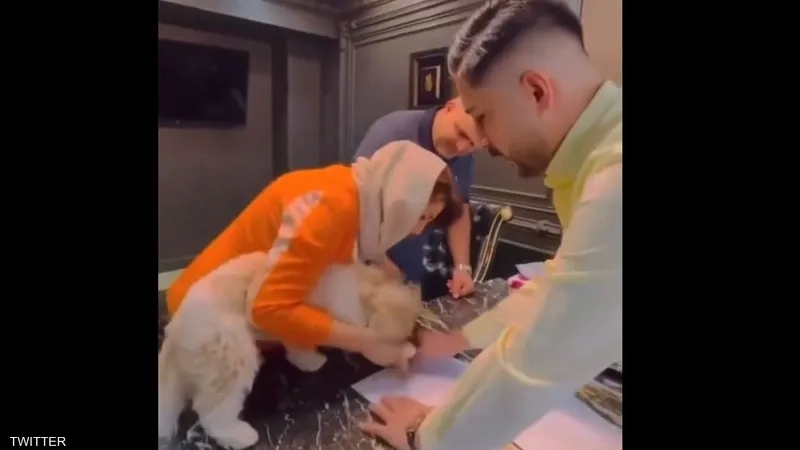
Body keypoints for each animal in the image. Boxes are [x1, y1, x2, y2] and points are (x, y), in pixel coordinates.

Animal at [157, 252, 421, 449]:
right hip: (232, 359)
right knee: (211, 411)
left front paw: (309, 361)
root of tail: (175, 332)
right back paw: (239, 436)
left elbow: (298, 351)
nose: (412, 343)